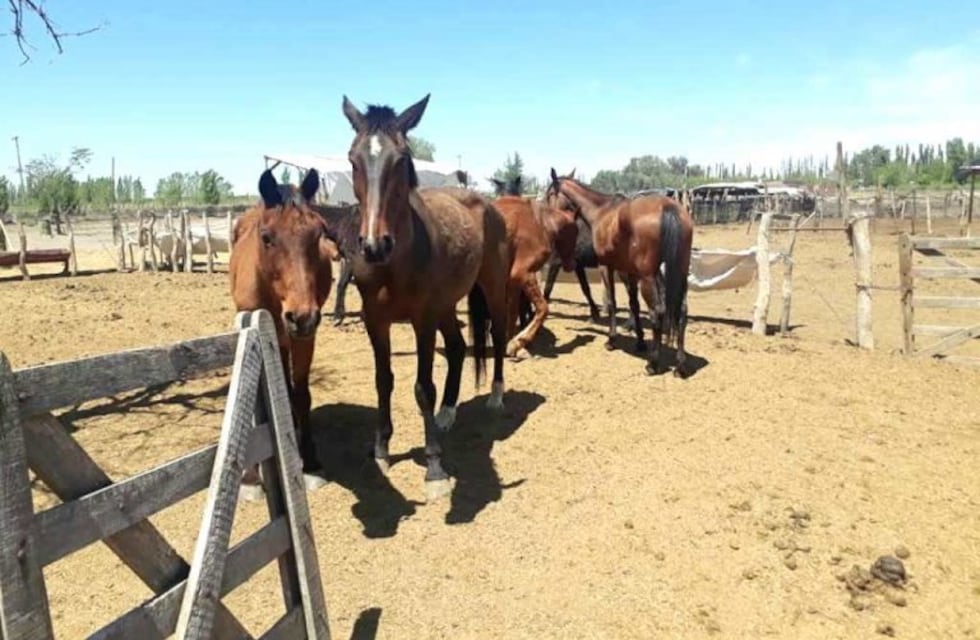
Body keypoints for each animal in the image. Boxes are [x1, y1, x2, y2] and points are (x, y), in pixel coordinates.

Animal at [229, 167, 338, 496]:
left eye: (320, 233)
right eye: (267, 237)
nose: (302, 316)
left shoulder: (304, 338)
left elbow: (301, 393)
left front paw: (310, 461)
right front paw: (250, 478)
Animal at [341, 93, 511, 501]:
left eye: (402, 159)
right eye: (353, 159)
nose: (374, 244)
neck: (395, 261)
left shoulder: (422, 320)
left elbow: (422, 388)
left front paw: (434, 467)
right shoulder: (375, 320)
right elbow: (383, 380)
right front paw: (381, 451)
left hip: (490, 289)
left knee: (497, 334)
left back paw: (496, 396)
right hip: (446, 305)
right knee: (457, 347)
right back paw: (448, 414)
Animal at [545, 168, 695, 377]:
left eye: (550, 194)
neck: (601, 212)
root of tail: (668, 208)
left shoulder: (605, 267)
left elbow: (611, 302)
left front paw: (611, 339)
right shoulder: (628, 271)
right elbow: (633, 305)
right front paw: (639, 341)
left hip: (649, 278)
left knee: (657, 312)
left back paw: (653, 363)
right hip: (678, 273)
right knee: (681, 311)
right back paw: (680, 365)